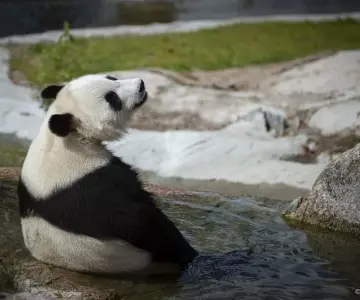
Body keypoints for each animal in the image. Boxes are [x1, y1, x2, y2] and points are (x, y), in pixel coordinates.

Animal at [17, 73, 197, 276]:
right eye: (112, 99)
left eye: (111, 77)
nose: (141, 84)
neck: (68, 138)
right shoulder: (89, 183)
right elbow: (137, 222)